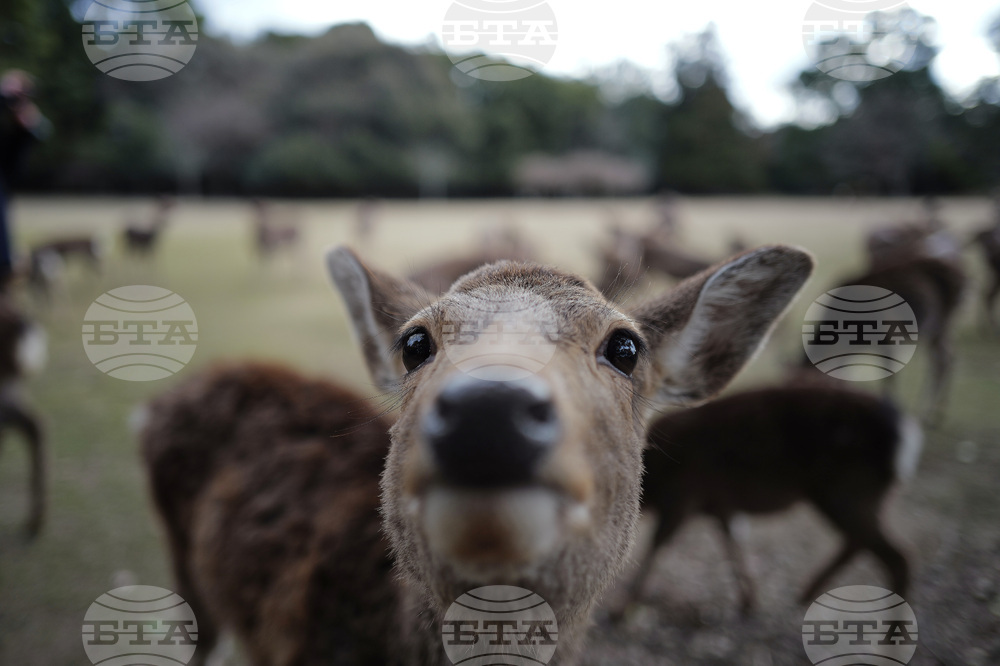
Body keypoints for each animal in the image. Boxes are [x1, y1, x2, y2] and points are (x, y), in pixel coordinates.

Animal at [612, 382, 921, 620]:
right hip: (857, 496)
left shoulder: (684, 494)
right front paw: (749, 601)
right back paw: (806, 593)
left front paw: (621, 610)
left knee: (897, 555)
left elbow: (659, 544)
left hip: (848, 490)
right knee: (860, 543)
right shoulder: (720, 503)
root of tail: (907, 438)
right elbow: (733, 543)